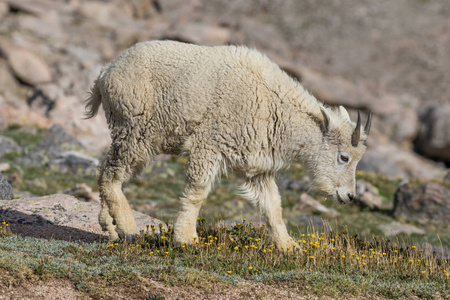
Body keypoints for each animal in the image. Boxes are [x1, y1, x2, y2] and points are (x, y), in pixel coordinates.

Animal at [86, 41, 370, 250]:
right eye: (344, 157)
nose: (349, 196)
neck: (275, 106)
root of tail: (103, 75)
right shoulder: (209, 144)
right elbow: (198, 191)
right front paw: (186, 239)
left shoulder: (258, 168)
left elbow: (273, 208)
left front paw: (290, 247)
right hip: (136, 130)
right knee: (111, 174)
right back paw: (127, 228)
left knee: (105, 171)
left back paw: (109, 227)